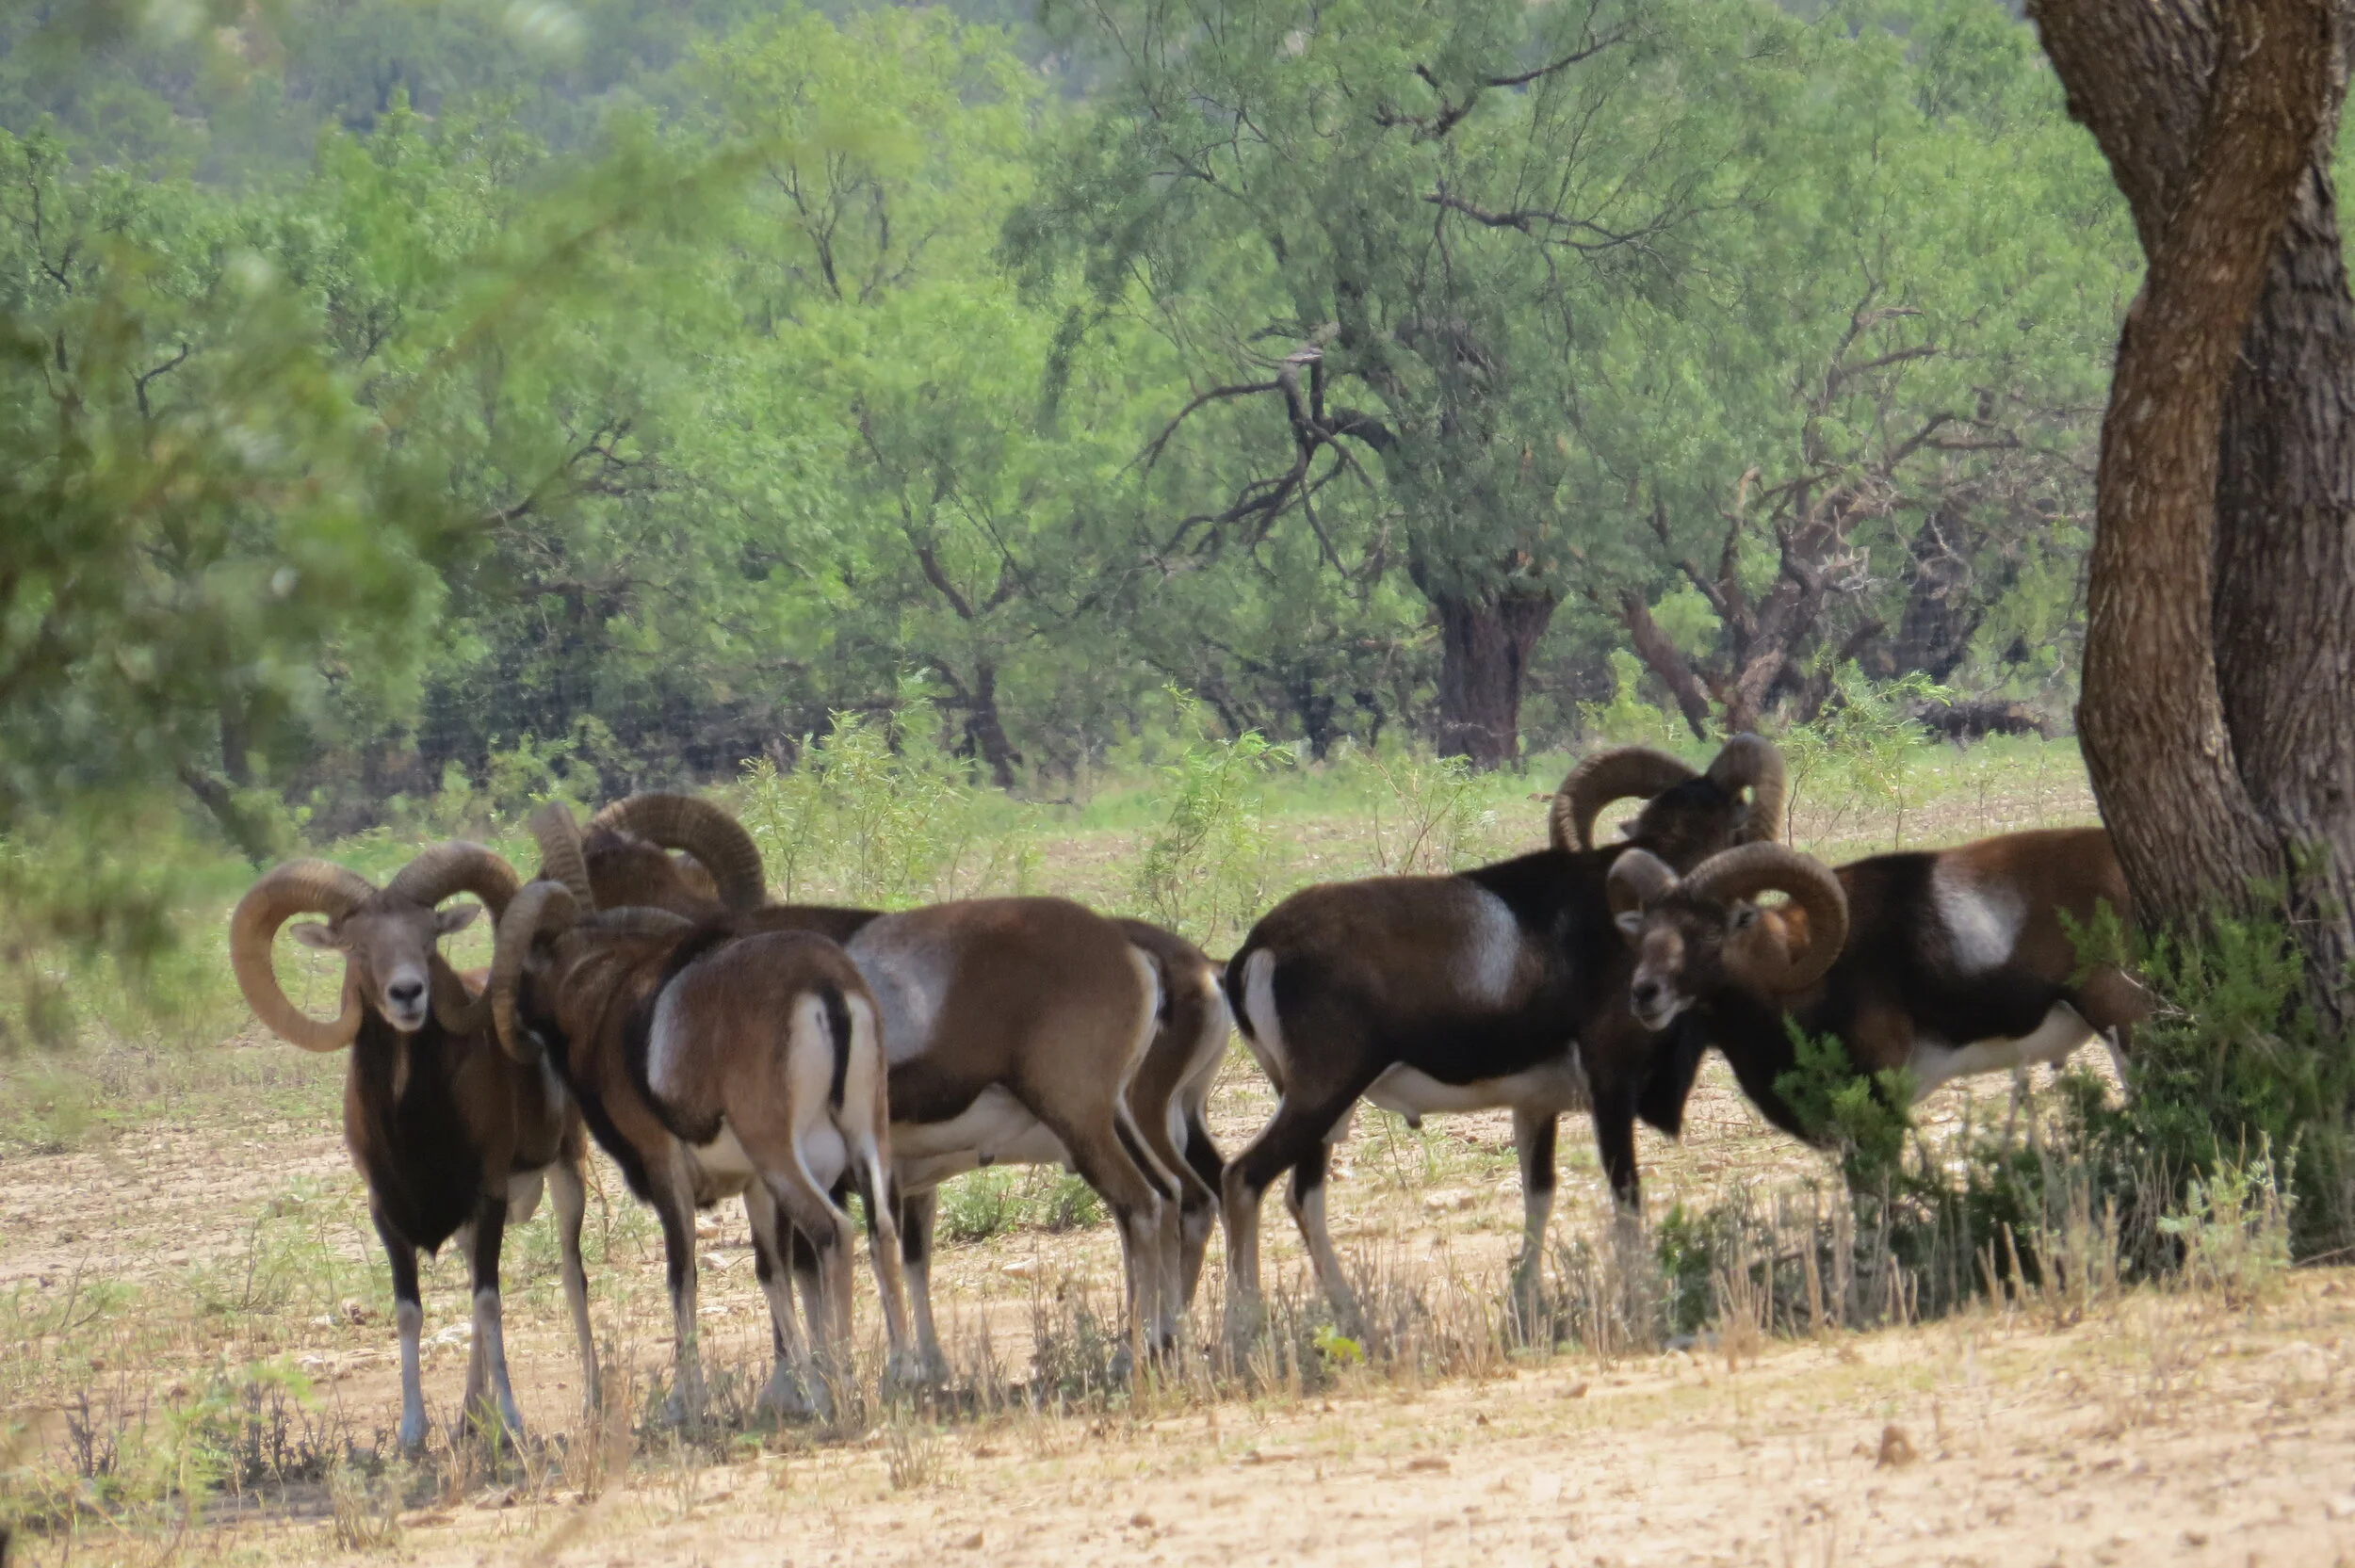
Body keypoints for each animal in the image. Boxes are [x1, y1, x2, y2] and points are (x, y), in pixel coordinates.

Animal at [228, 843, 596, 1449]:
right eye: (357, 946)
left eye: (428, 938)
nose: (407, 993)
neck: (416, 1127)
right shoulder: (389, 1215)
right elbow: (411, 1313)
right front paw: (412, 1434)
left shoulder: (488, 1199)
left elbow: (489, 1304)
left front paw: (513, 1423)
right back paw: (469, 1417)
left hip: (567, 1174)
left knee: (572, 1277)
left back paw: (591, 1398)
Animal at [484, 865, 912, 1419]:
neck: (606, 1003)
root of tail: (827, 990)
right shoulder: (754, 1188)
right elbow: (772, 1273)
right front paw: (795, 1387)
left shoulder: (666, 1168)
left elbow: (681, 1274)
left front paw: (686, 1401)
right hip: (867, 1139)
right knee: (882, 1232)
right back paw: (902, 1375)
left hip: (781, 1156)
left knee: (835, 1233)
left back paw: (840, 1389)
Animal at [1218, 737, 1784, 1328]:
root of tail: (1255, 952)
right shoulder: (1611, 1082)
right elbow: (1625, 1196)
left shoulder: (1536, 1107)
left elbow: (1540, 1194)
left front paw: (1525, 1303)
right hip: (1321, 1097)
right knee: (1244, 1180)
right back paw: (1246, 1328)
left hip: (1319, 1113)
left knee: (1301, 1197)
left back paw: (1356, 1320)